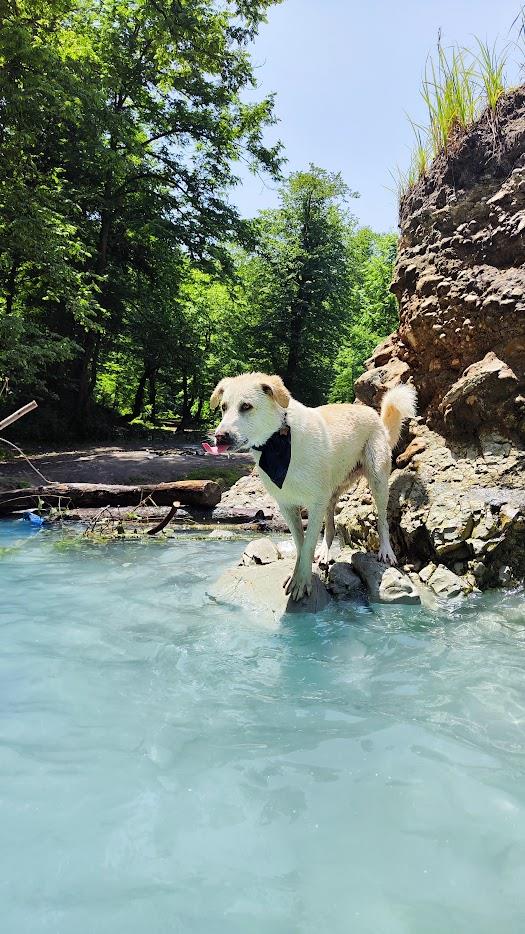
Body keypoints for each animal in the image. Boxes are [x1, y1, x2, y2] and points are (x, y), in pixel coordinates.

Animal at [210, 374, 418, 604]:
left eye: (246, 406)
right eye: (223, 407)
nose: (219, 436)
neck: (279, 440)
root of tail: (374, 415)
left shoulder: (315, 503)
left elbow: (309, 543)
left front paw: (301, 582)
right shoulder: (287, 505)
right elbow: (300, 544)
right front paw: (297, 575)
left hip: (377, 481)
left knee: (382, 520)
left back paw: (386, 551)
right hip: (332, 491)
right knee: (330, 528)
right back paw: (325, 553)